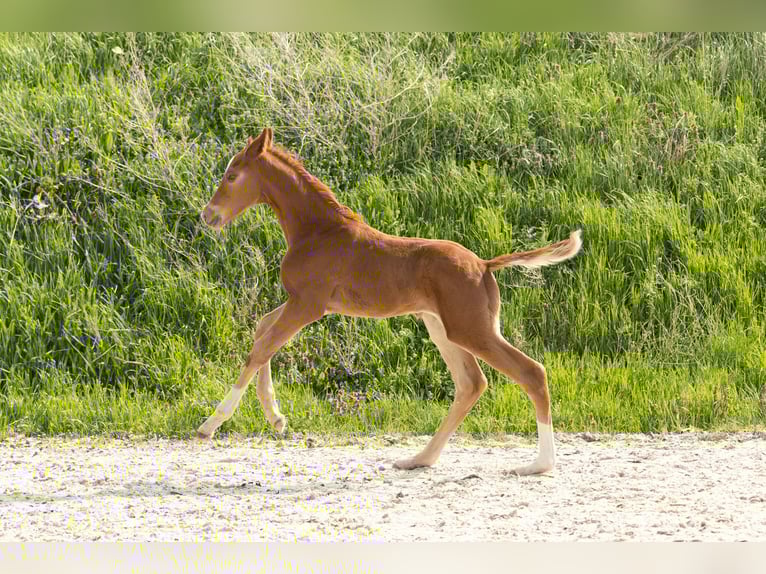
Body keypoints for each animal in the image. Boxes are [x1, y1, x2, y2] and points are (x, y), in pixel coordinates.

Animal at [198, 128, 582, 475]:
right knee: (471, 383)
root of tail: (484, 265)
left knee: (531, 372)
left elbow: (262, 347)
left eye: (232, 176)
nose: (208, 215)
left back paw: (540, 464)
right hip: (443, 328)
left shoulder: (308, 304)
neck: (318, 231)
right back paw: (420, 459)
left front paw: (211, 424)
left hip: (471, 329)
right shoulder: (301, 302)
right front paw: (276, 418)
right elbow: (262, 330)